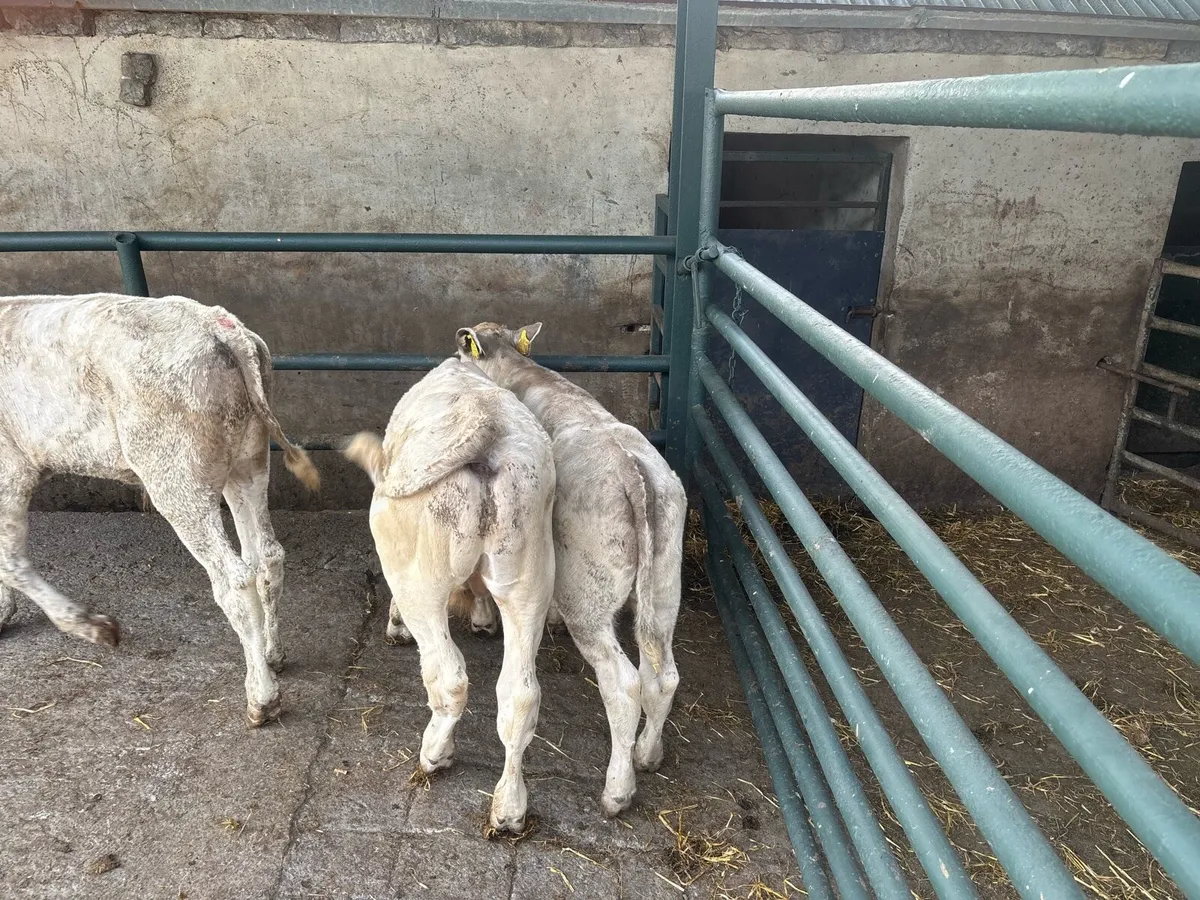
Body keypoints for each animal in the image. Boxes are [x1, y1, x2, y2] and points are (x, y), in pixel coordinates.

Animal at [0, 293, 319, 727]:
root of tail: (219, 327)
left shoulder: (10, 467)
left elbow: (10, 561)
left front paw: (90, 626)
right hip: (247, 459)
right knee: (265, 556)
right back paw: (272, 656)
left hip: (175, 473)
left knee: (234, 580)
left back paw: (261, 697)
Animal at [342, 356, 555, 833]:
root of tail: (486, 427)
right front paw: (481, 617)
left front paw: (395, 624)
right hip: (529, 575)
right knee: (520, 694)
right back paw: (509, 808)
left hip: (420, 574)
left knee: (450, 676)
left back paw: (435, 753)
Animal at [455, 322, 686, 816]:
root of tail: (631, 468)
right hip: (664, 585)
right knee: (663, 676)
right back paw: (648, 753)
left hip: (590, 593)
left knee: (623, 684)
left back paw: (617, 789)